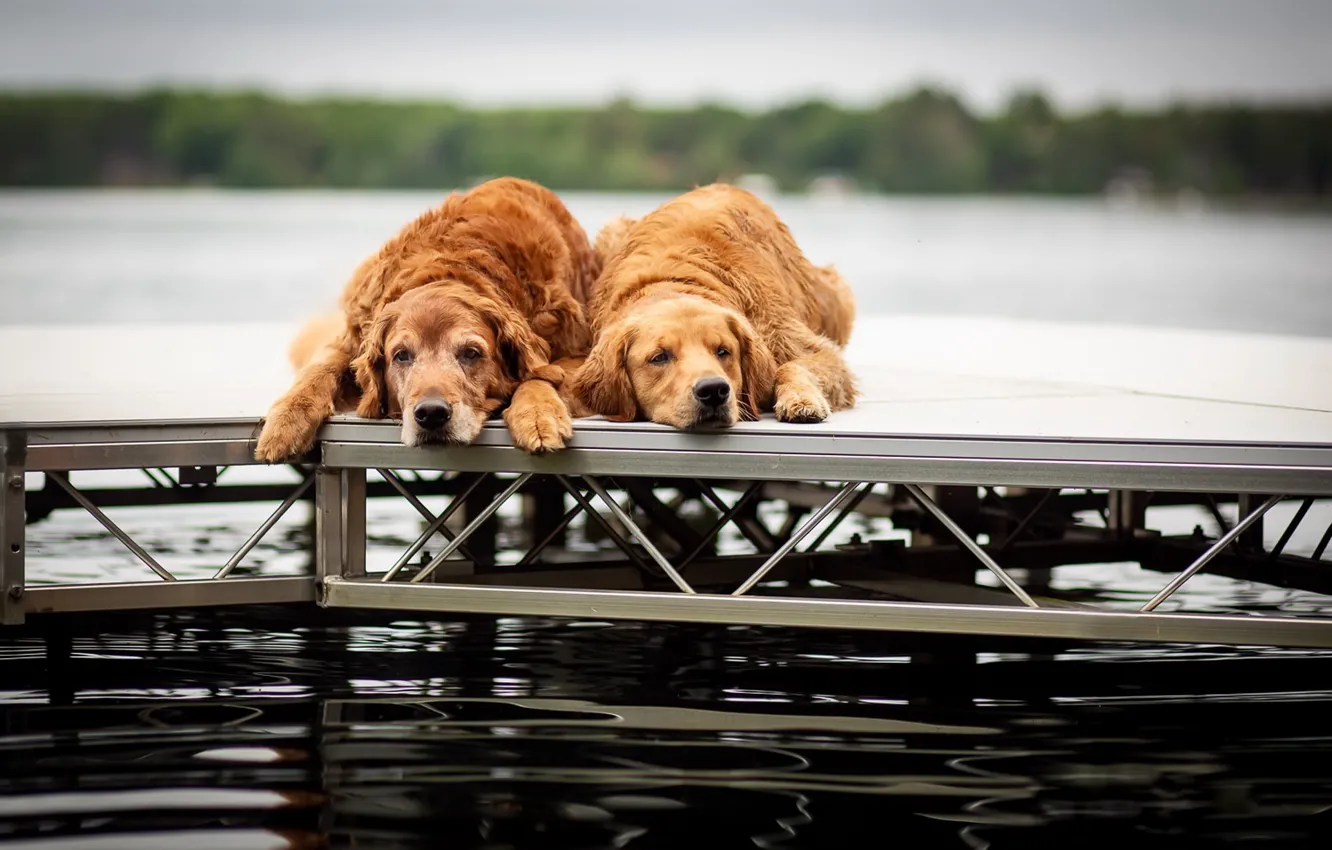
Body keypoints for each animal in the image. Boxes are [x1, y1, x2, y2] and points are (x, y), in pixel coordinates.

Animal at [251, 175, 596, 463]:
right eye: (401, 355)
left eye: (471, 353)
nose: (431, 414)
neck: (453, 266)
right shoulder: (352, 335)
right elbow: (319, 369)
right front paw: (285, 422)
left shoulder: (581, 354)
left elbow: (539, 376)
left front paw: (537, 415)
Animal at [567, 183, 857, 428]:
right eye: (659, 357)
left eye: (723, 351)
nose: (713, 391)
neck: (673, 280)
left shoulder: (790, 337)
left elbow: (793, 364)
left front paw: (801, 399)